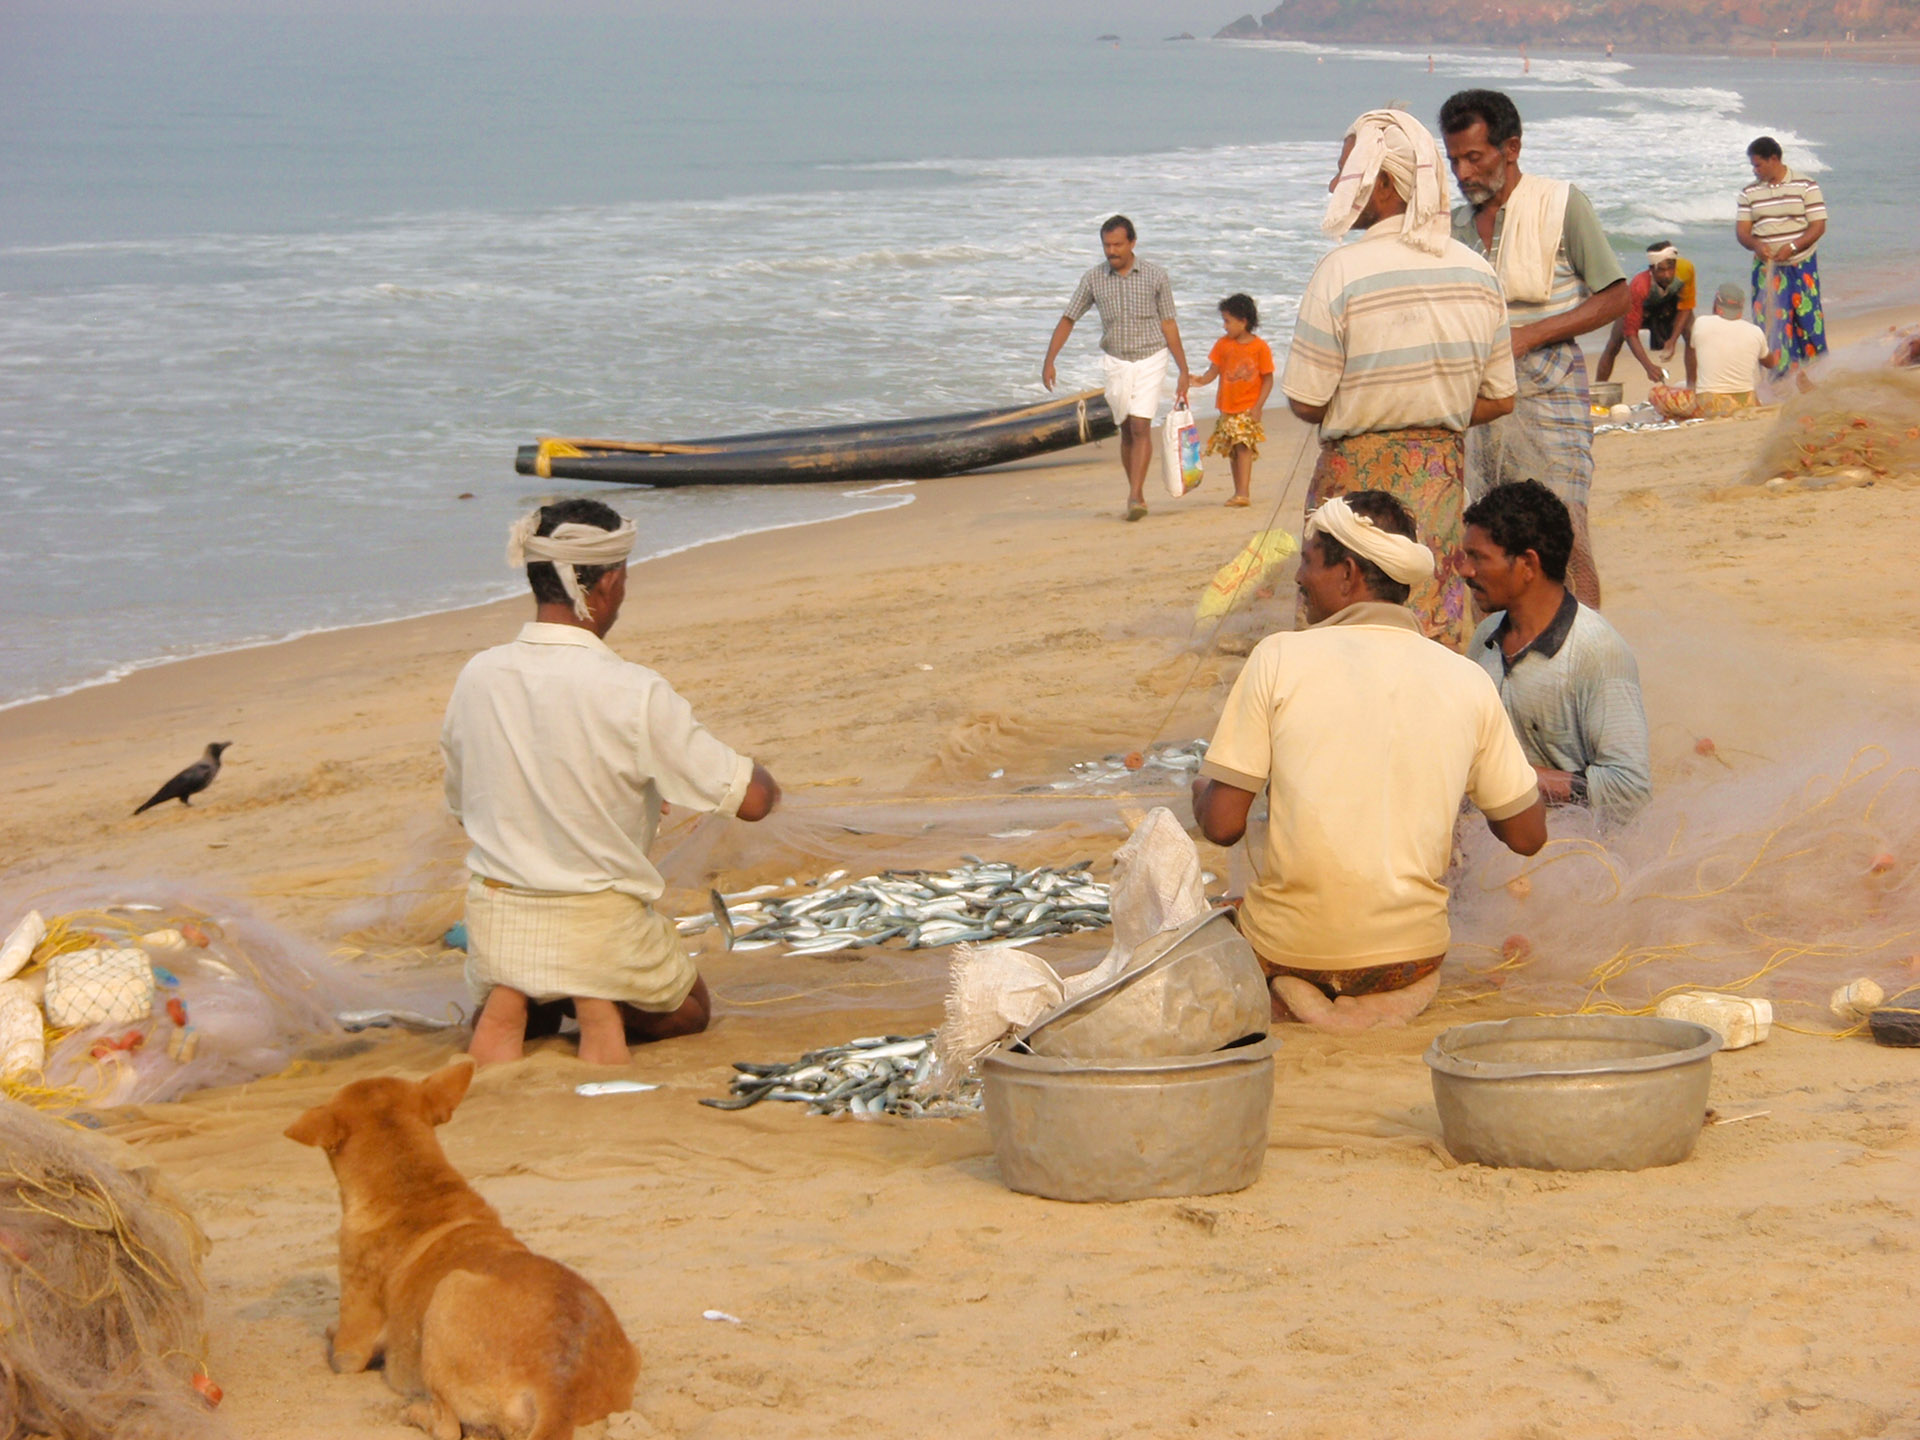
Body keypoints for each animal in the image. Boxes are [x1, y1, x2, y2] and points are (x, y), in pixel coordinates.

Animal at [284, 1059, 641, 1440]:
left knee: (448, 1426)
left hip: (446, 1294)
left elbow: (339, 1346)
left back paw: (415, 1412)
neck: (413, 1189)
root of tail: (559, 1391)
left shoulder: (350, 1350)